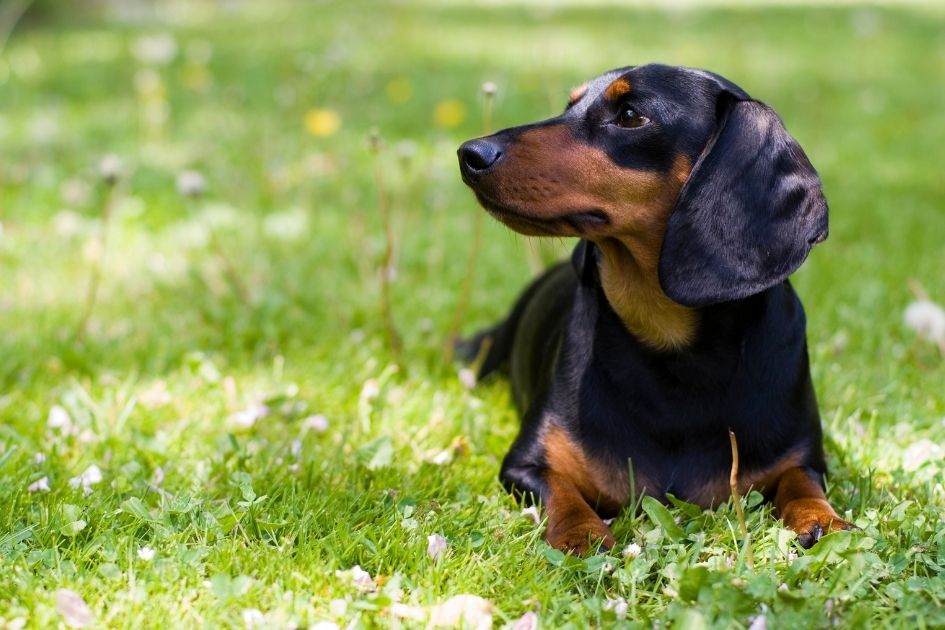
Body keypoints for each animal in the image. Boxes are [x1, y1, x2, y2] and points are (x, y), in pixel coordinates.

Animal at [454, 64, 852, 556]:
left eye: (629, 115)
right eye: (570, 105)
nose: (470, 154)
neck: (671, 348)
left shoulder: (804, 458)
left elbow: (802, 483)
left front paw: (823, 519)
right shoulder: (525, 465)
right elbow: (563, 493)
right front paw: (582, 533)